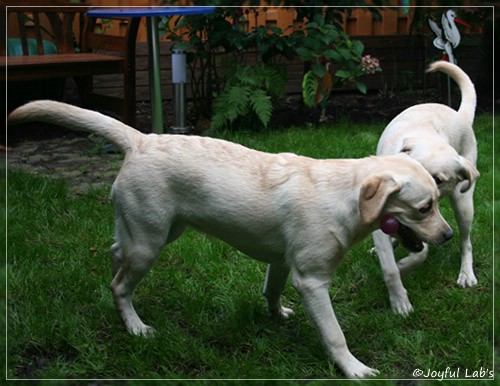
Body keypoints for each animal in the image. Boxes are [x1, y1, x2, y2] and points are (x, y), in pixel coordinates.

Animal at [7, 101, 454, 378]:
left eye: (436, 199)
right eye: (425, 207)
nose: (449, 235)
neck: (346, 193)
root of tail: (142, 139)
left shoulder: (282, 262)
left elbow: (271, 291)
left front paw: (277, 316)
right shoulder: (312, 279)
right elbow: (334, 333)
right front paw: (354, 369)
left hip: (150, 230)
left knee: (116, 255)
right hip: (150, 243)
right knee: (120, 285)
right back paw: (135, 327)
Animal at [374, 59, 478, 314]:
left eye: (437, 180)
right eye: (408, 167)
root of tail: (459, 115)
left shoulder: (431, 224)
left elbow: (420, 252)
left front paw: (404, 267)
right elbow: (390, 267)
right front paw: (399, 300)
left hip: (463, 203)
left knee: (466, 242)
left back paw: (466, 273)